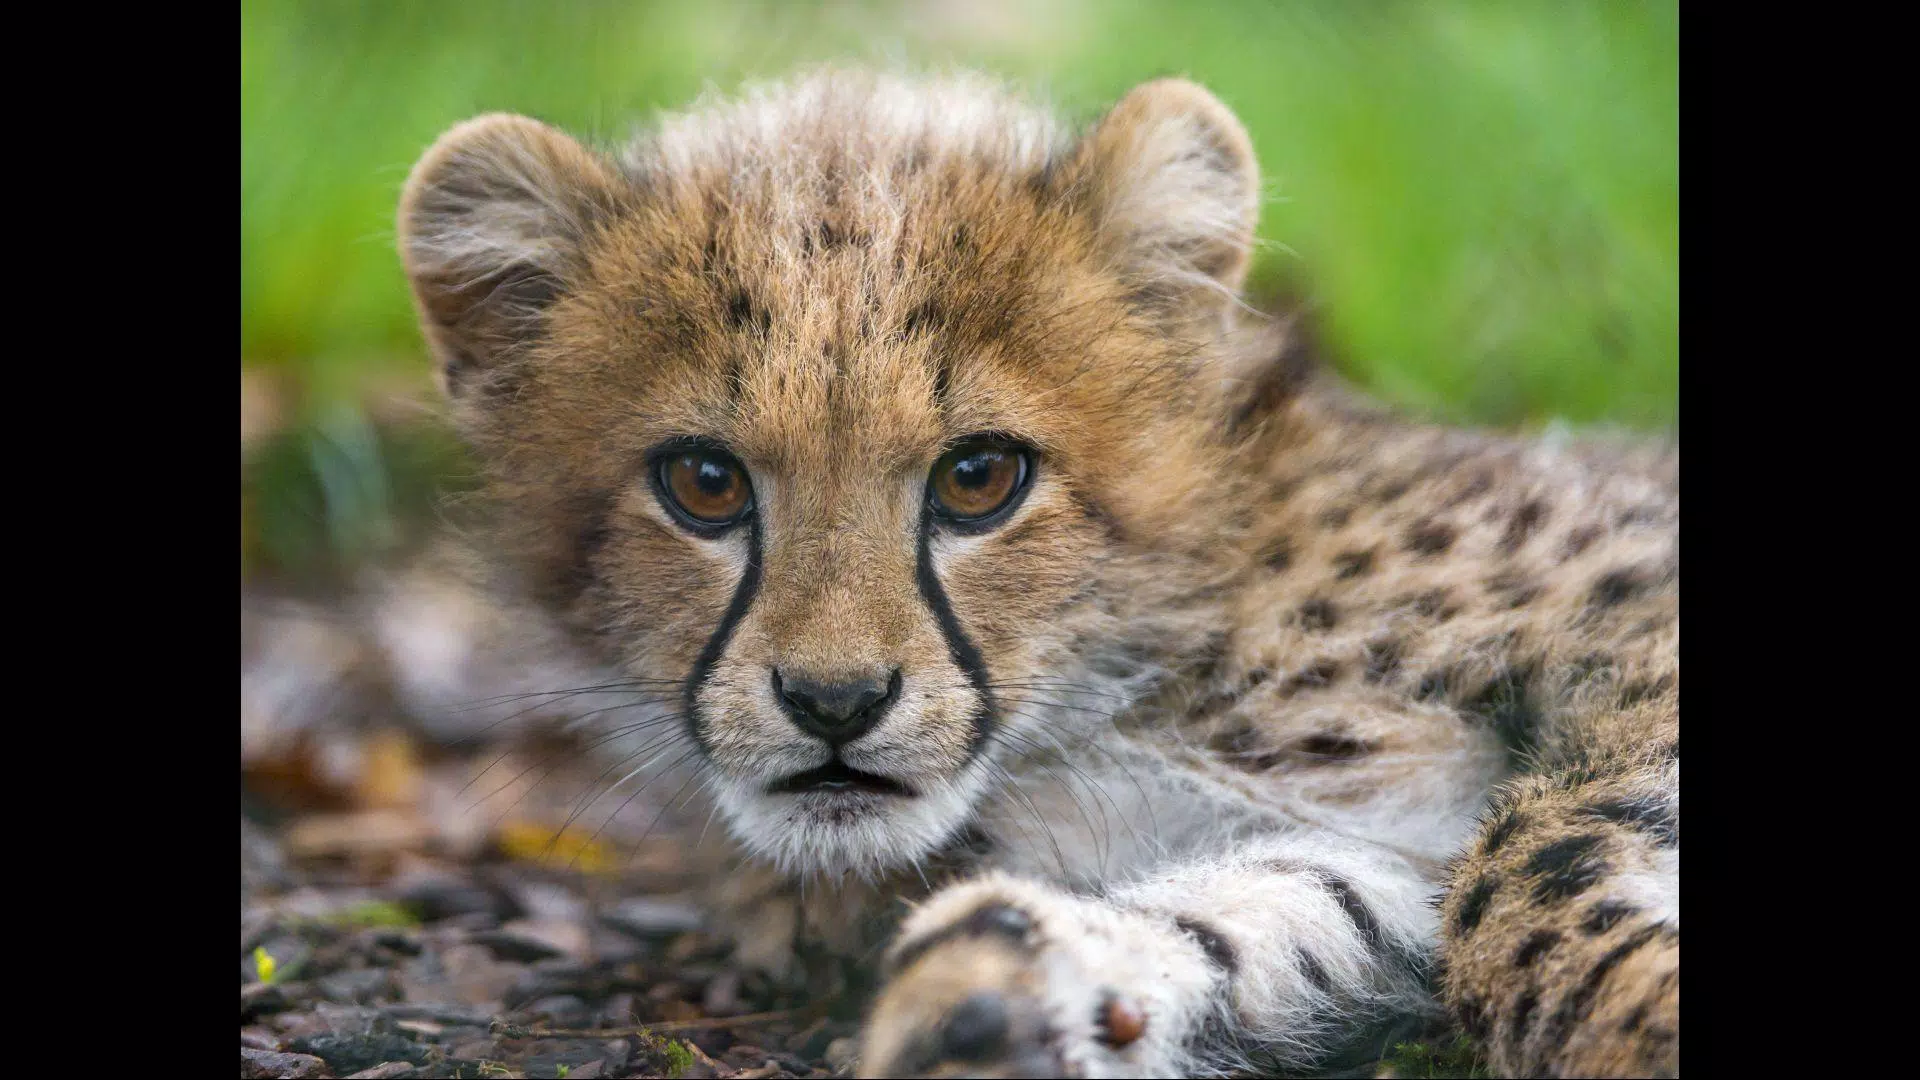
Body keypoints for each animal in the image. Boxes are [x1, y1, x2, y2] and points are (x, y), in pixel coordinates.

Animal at [382, 68, 1678, 1077]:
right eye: (703, 481)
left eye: (980, 478)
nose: (836, 703)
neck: (1130, 666)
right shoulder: (1369, 845)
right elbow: (1292, 906)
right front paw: (999, 992)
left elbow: (1525, 860)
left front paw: (1636, 1026)